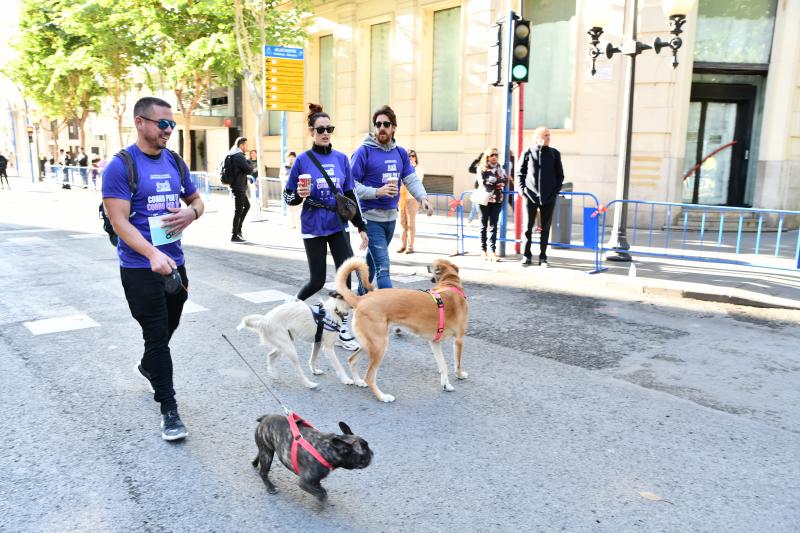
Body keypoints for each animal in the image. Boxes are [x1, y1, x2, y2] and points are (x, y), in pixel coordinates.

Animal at [336, 256, 468, 402]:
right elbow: (457, 363)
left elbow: (443, 365)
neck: (450, 283)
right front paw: (460, 375)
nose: (427, 266)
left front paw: (446, 385)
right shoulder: (459, 340)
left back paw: (358, 381)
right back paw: (383, 397)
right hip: (379, 346)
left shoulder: (435, 342)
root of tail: (361, 299)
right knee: (369, 377)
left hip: (369, 344)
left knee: (352, 360)